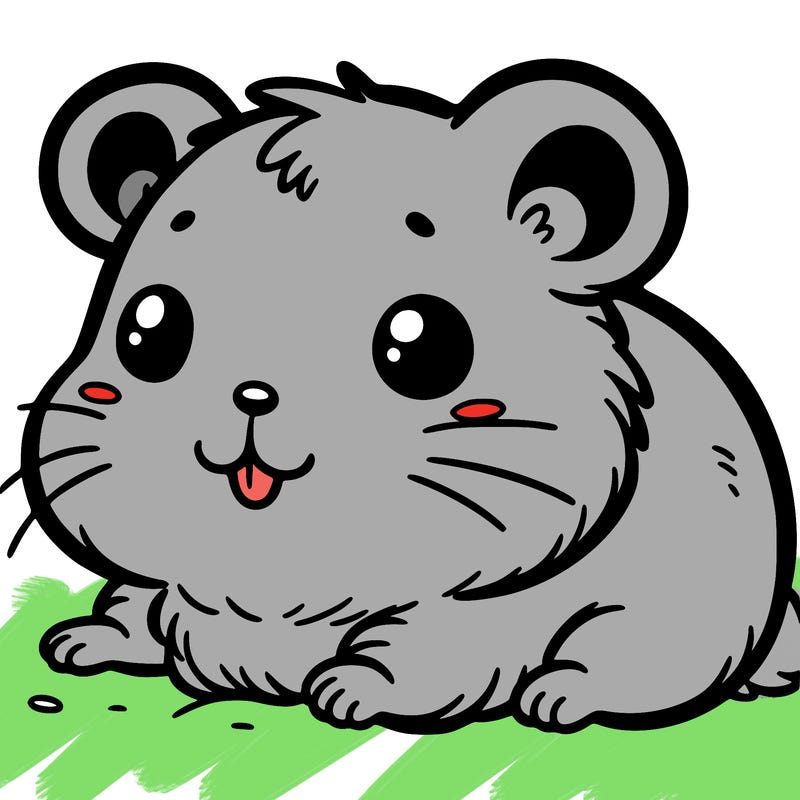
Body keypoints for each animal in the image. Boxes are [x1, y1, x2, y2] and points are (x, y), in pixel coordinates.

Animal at [12, 59, 799, 733]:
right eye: (148, 328)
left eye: (420, 344)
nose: (253, 394)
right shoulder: (179, 587)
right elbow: (139, 604)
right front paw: (86, 638)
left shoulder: (481, 611)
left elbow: (419, 653)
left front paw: (348, 688)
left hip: (684, 597)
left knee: (638, 656)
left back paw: (562, 692)